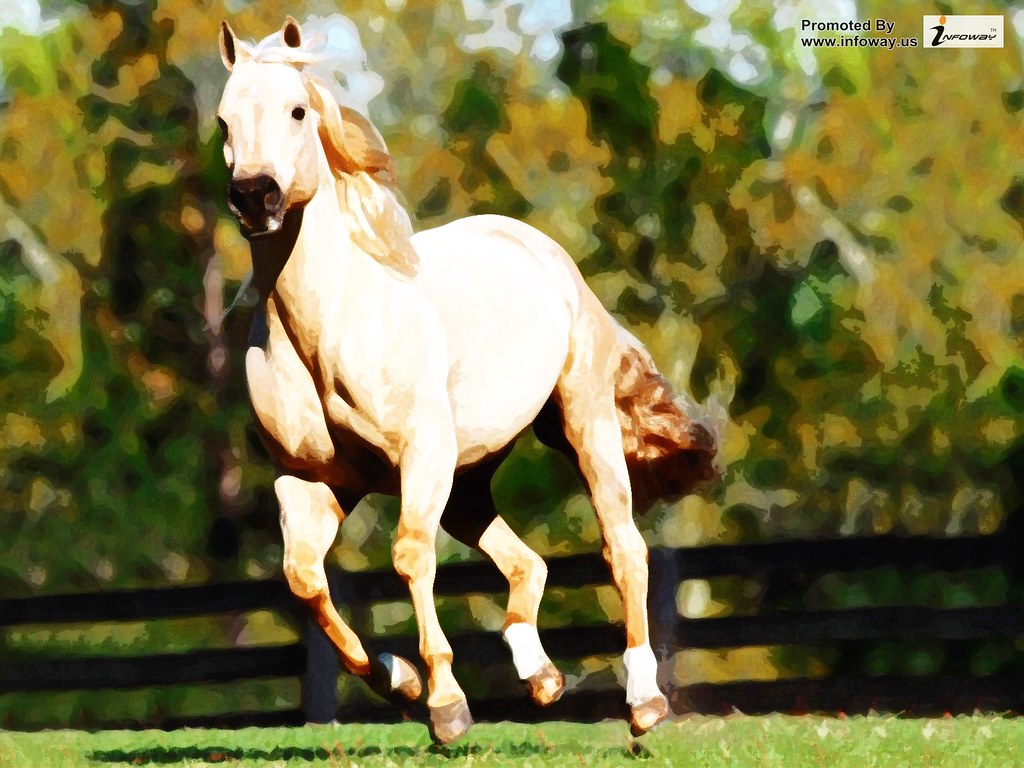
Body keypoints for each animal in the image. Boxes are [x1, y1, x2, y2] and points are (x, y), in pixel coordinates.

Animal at [215, 17, 718, 743]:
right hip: (470, 476)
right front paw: (400, 680)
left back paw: (644, 700)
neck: (328, 328)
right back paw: (540, 677)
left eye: (298, 110)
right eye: (224, 120)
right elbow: (304, 580)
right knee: (526, 562)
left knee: (623, 546)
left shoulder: (420, 455)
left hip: (581, 423)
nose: (257, 196)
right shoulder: (312, 480)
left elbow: (408, 556)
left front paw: (446, 706)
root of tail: (548, 254)